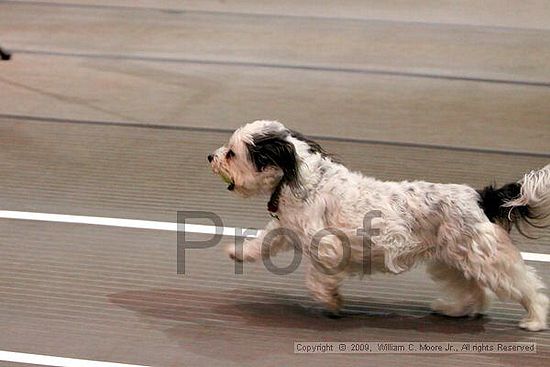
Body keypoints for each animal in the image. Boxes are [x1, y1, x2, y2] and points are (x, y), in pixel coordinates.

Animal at [209, 120, 548, 330]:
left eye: (232, 153)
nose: (211, 156)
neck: (304, 180)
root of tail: (479, 197)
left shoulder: (327, 249)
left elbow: (317, 280)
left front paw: (332, 301)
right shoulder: (286, 228)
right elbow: (263, 241)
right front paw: (239, 252)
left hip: (487, 261)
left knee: (528, 286)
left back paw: (534, 320)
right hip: (452, 262)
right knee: (477, 292)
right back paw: (454, 310)